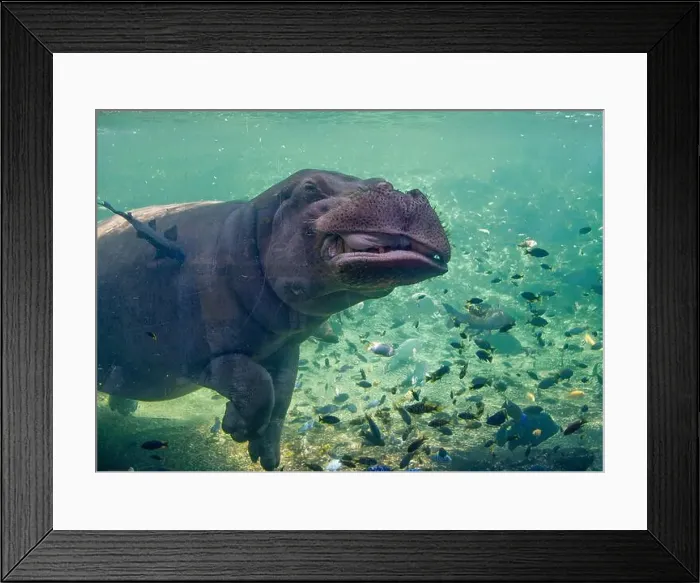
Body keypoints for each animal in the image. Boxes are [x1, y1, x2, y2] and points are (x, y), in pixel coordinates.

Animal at [97, 169, 451, 470]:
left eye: (383, 182)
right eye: (310, 187)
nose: (394, 190)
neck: (246, 234)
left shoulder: (284, 349)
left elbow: (280, 396)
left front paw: (263, 454)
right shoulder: (206, 356)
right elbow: (257, 385)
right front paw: (238, 430)